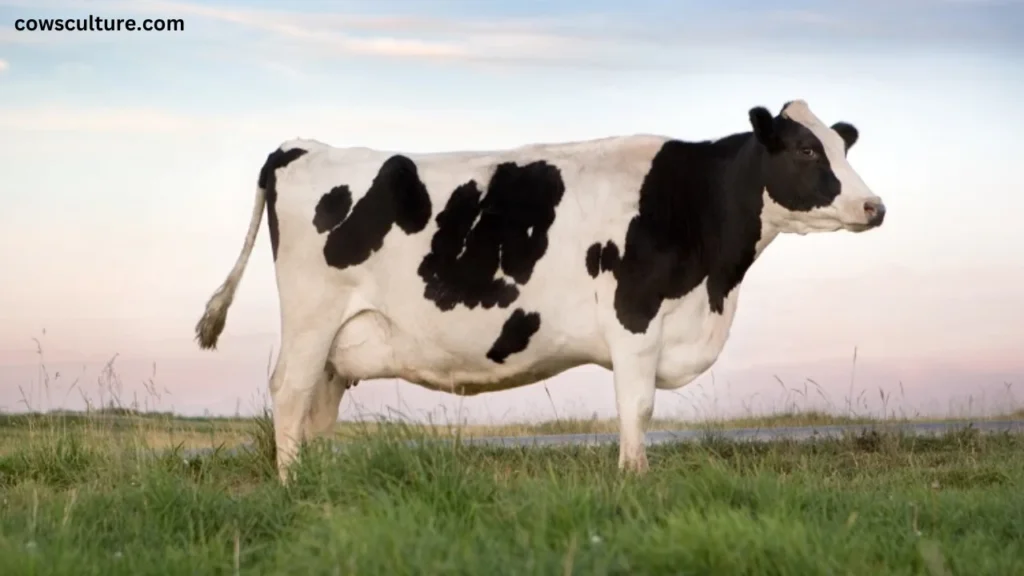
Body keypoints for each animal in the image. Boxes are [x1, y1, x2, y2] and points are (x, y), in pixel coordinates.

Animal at [193, 98, 888, 479]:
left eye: (841, 146)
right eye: (805, 151)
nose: (875, 206)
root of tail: (301, 146)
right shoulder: (634, 318)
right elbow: (636, 409)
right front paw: (633, 482)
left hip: (341, 338)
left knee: (318, 405)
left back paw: (317, 481)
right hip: (312, 315)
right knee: (288, 391)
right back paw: (290, 485)